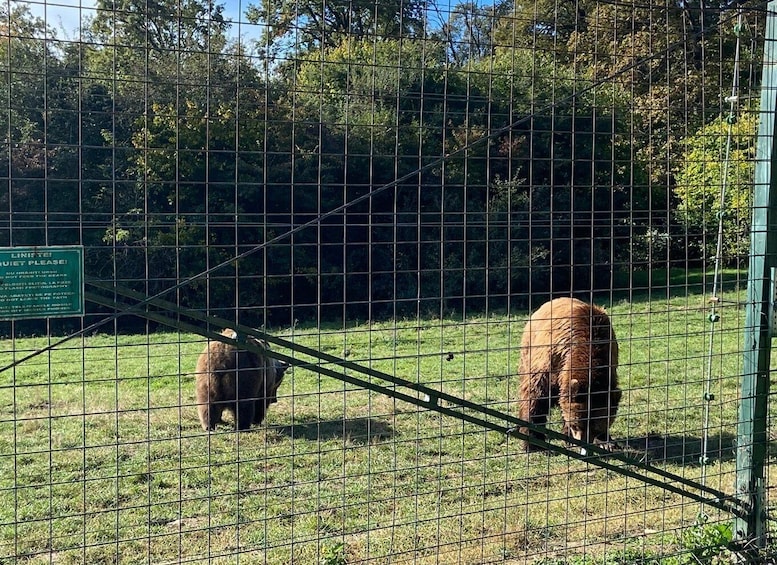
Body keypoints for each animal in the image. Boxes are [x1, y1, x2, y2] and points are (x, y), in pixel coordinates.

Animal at [520, 298, 620, 452]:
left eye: (596, 428)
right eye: (577, 424)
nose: (584, 445)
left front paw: (606, 442)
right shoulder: (552, 361)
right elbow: (536, 396)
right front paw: (533, 443)